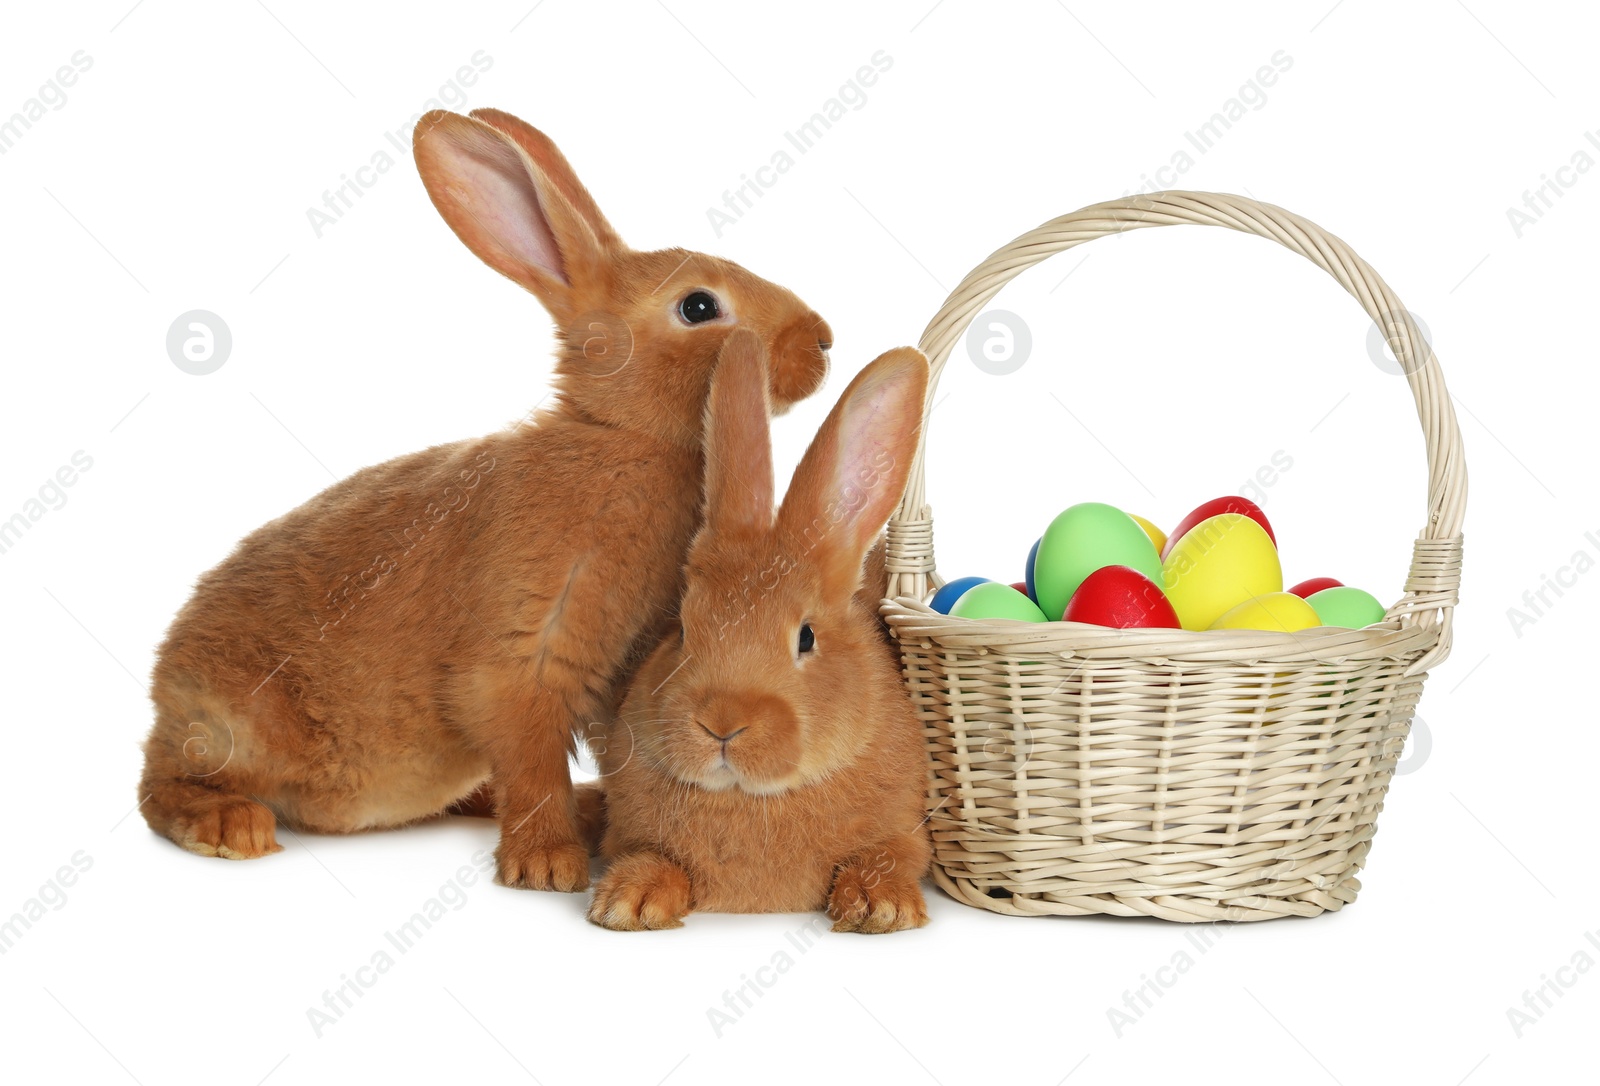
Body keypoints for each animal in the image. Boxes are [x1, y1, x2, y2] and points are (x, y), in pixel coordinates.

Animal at [137, 106, 838, 895]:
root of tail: (164, 687)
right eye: (698, 305)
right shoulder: (522, 655)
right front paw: (548, 866)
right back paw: (229, 826)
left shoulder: (619, 673)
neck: (624, 440)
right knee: (159, 788)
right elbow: (528, 755)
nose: (821, 340)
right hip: (233, 729)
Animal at [585, 335, 934, 927]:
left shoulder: (907, 829)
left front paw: (879, 907)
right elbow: (651, 856)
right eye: (683, 628)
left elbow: (888, 854)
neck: (752, 796)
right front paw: (629, 902)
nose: (722, 722)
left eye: (806, 637)